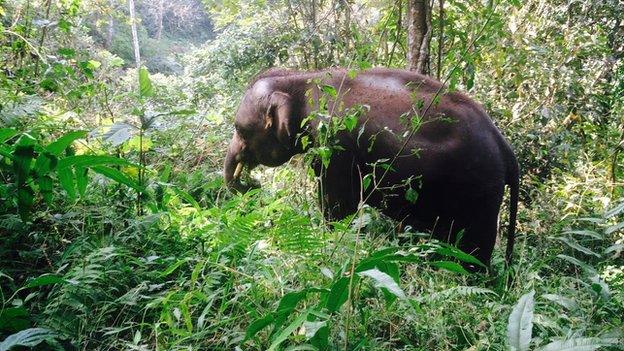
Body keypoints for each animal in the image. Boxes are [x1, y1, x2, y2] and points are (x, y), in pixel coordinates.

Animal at [222, 68, 520, 266]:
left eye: (240, 129)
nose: (251, 184)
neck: (300, 78)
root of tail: (505, 147)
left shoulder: (336, 143)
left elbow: (337, 204)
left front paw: (331, 237)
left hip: (481, 188)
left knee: (475, 244)